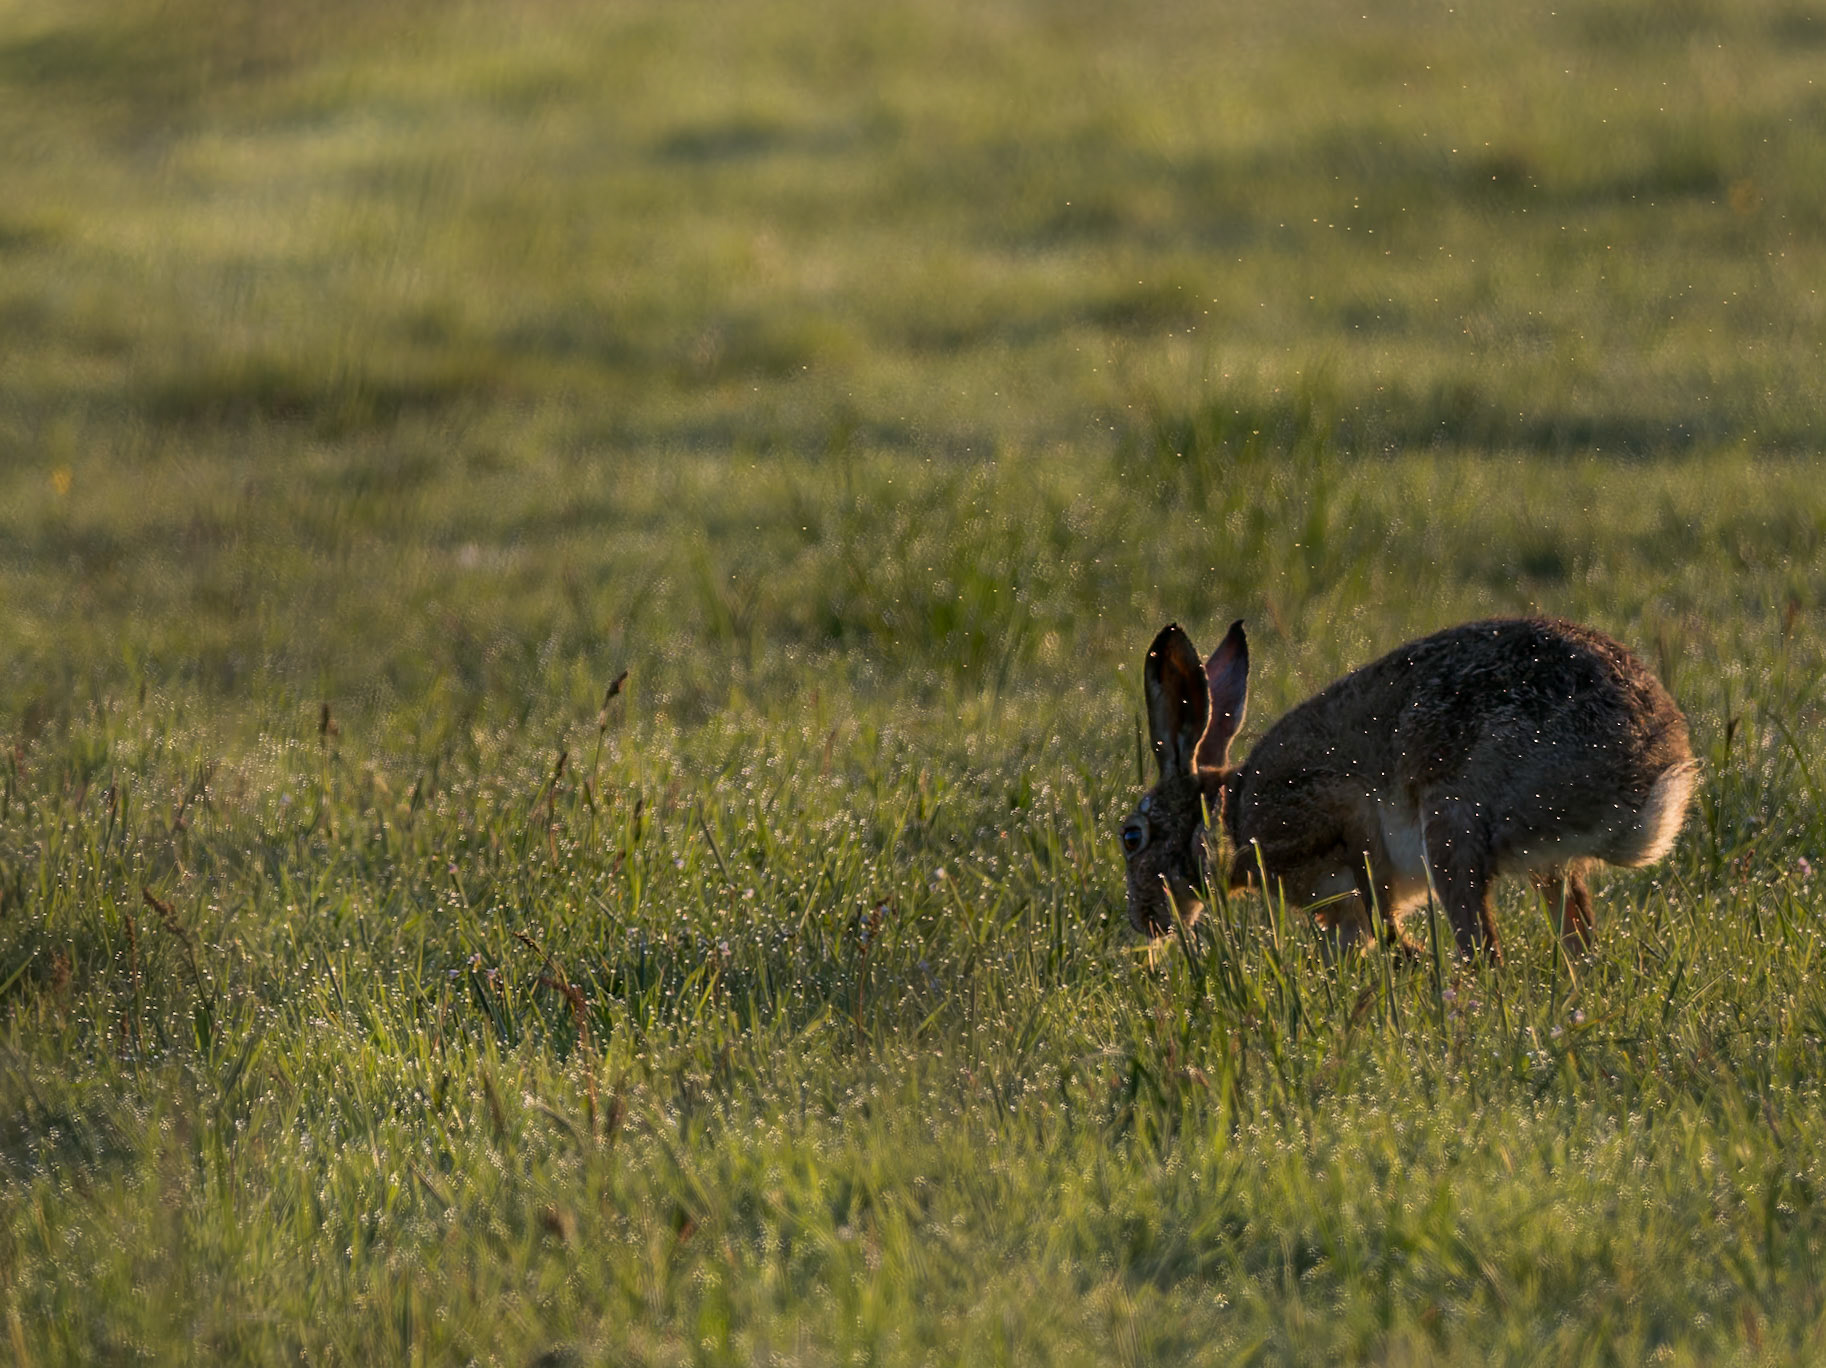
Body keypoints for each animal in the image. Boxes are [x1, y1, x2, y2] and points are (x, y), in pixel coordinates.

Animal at [1120, 617, 1695, 962]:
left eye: (1132, 837)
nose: (1143, 922)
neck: (1225, 816)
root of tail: (1647, 763)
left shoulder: (1334, 810)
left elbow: (1378, 904)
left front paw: (1408, 955)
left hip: (1451, 823)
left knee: (1482, 951)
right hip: (1546, 862)